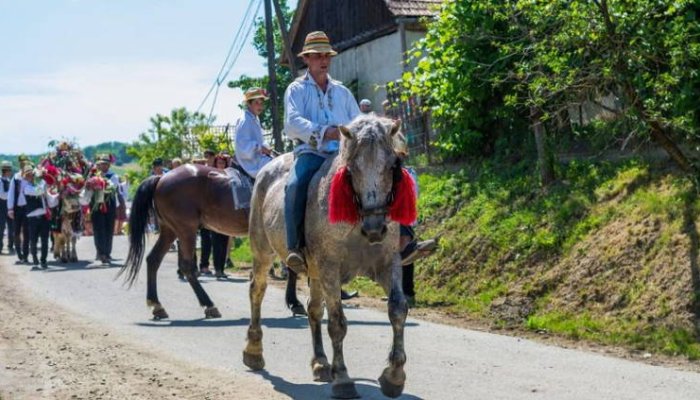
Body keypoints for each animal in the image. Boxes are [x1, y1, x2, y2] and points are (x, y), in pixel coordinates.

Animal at [118, 164, 304, 320]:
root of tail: (161, 178)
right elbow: (292, 267)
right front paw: (295, 302)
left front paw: (293, 301)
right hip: (186, 230)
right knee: (187, 266)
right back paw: (209, 305)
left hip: (170, 230)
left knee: (153, 259)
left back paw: (156, 305)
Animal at [245, 114, 412, 398]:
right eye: (352, 168)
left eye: (392, 165)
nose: (375, 228)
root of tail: (267, 168)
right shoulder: (330, 267)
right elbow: (337, 323)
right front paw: (342, 378)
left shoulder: (388, 263)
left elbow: (398, 309)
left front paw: (394, 376)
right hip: (263, 252)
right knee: (257, 290)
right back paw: (254, 352)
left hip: (314, 271)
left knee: (313, 309)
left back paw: (321, 364)